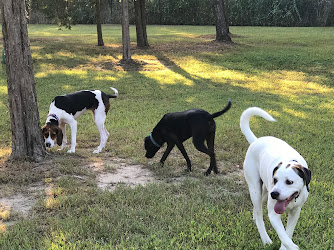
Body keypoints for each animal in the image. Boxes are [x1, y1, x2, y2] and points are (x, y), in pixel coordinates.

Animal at [240, 107, 310, 250]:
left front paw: (285, 247)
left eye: (289, 182)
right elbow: (283, 235)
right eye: (275, 180)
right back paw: (265, 238)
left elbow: (287, 233)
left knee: (258, 208)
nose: (275, 194)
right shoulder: (273, 214)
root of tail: (256, 141)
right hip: (256, 189)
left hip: (265, 193)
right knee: (260, 216)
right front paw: (292, 247)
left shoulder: (296, 212)